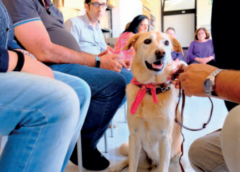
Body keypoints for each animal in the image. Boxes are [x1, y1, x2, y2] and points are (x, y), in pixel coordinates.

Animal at [109, 31, 187, 172]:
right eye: (147, 41)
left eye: (166, 42)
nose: (161, 53)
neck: (150, 88)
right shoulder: (134, 136)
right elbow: (131, 167)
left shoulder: (165, 138)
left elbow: (163, 168)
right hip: (137, 150)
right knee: (128, 160)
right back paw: (116, 167)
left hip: (180, 159)